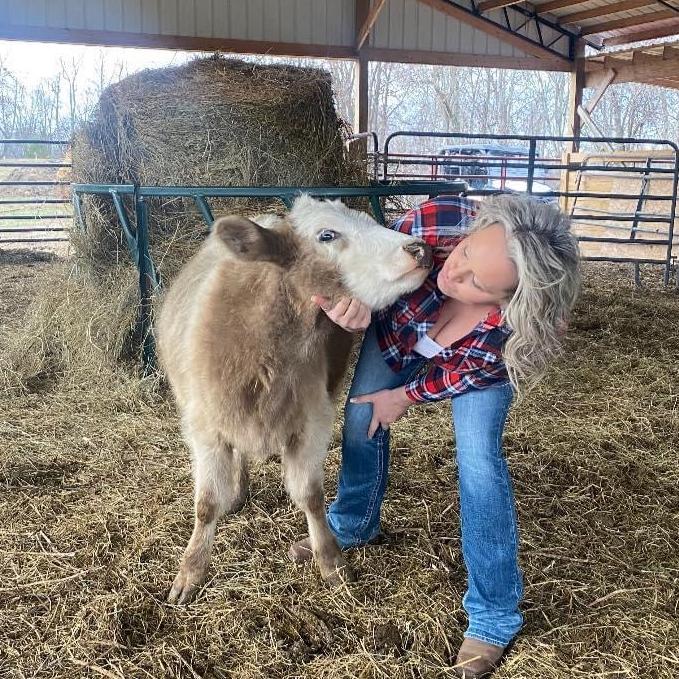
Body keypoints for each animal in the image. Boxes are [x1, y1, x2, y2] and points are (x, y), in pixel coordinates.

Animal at [156, 195, 432, 604]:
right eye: (327, 234)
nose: (420, 249)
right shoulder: (205, 429)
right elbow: (206, 505)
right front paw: (191, 571)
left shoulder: (312, 424)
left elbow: (311, 496)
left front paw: (330, 562)